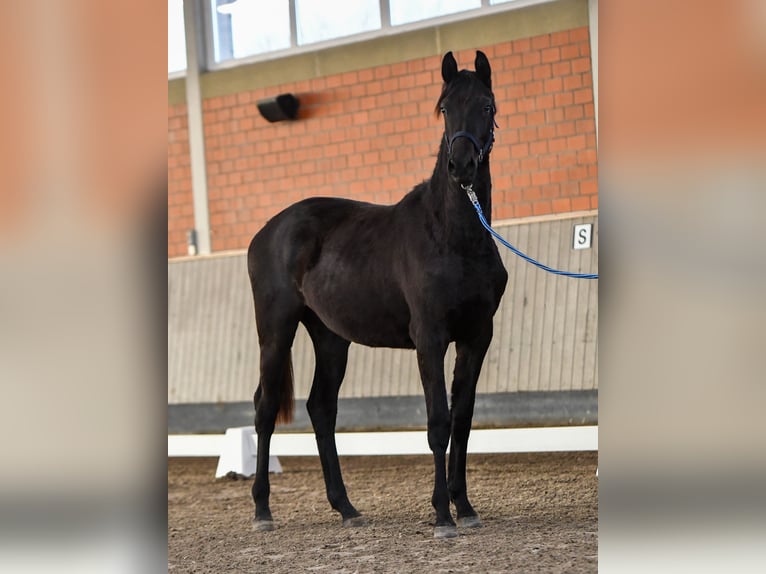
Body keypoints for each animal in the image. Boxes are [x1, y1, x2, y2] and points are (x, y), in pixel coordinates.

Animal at [249, 49, 508, 540]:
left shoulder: (477, 338)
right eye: (444, 107)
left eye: (488, 106)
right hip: (276, 332)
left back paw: (346, 507)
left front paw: (464, 507)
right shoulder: (430, 339)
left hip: (331, 337)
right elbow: (438, 422)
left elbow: (463, 420)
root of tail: (268, 230)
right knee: (265, 407)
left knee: (321, 408)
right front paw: (442, 515)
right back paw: (261, 510)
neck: (453, 237)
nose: (461, 166)